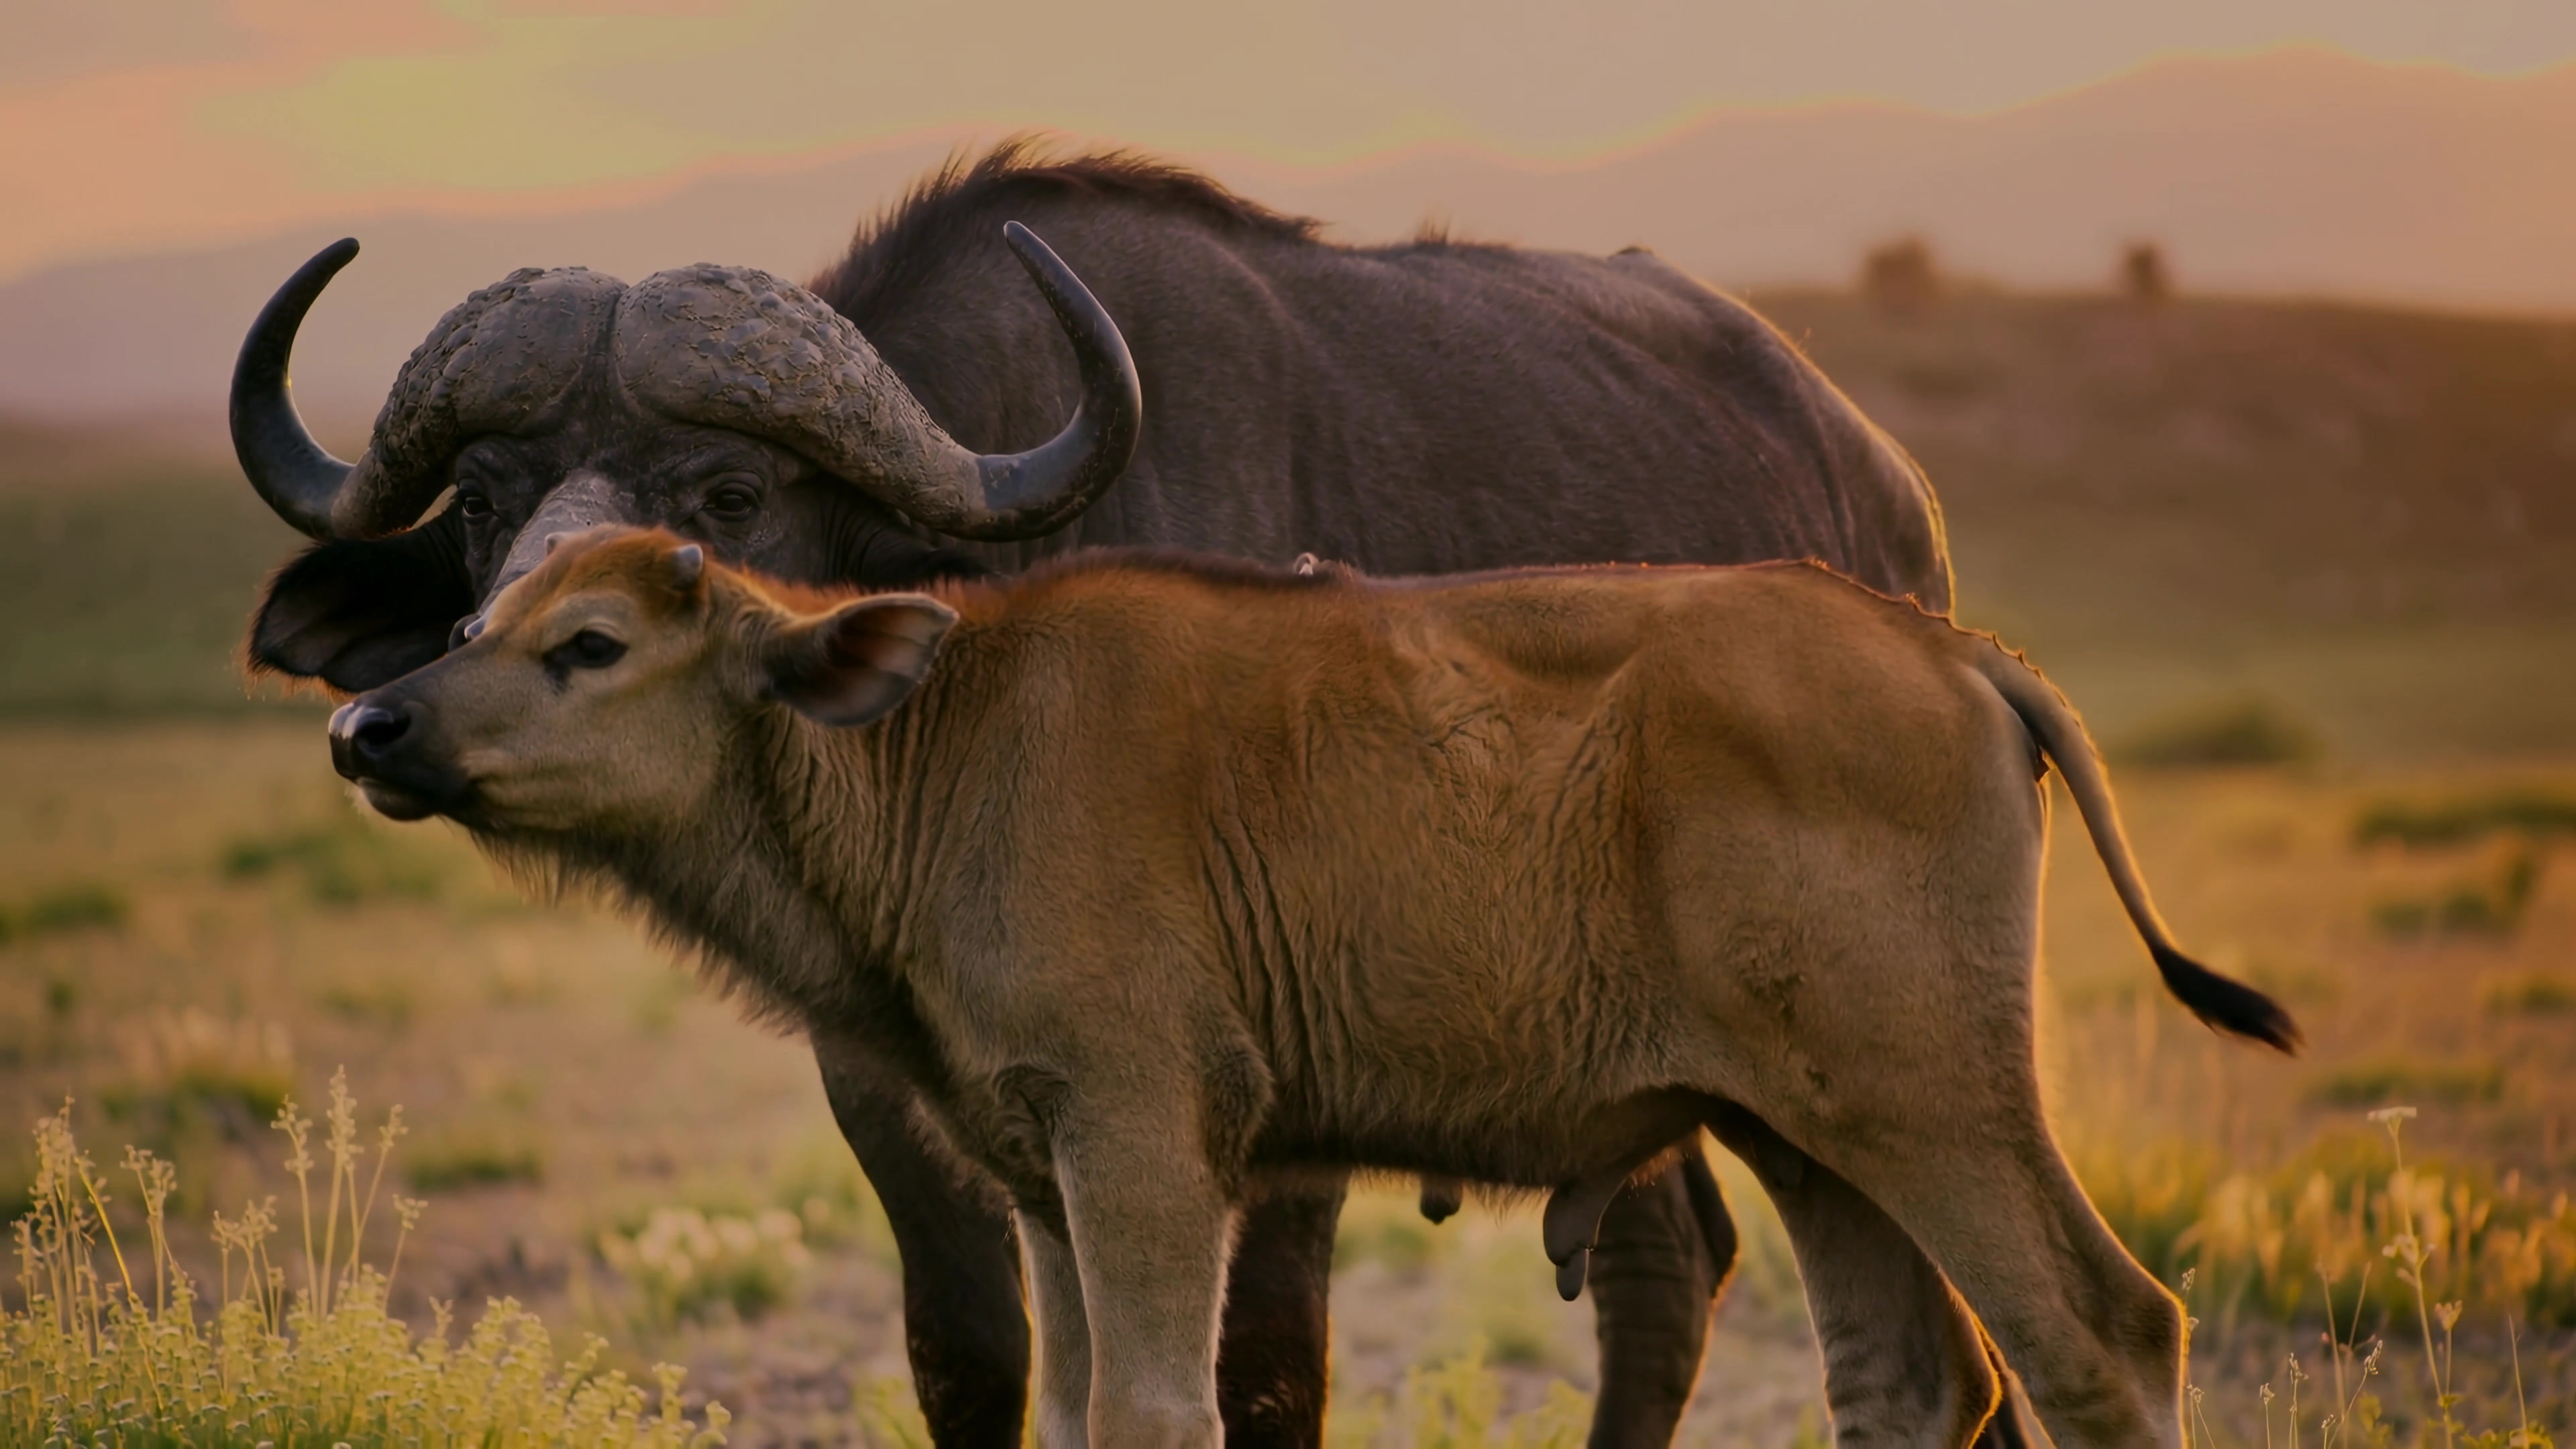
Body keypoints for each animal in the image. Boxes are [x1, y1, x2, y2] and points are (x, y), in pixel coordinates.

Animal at [323, 527, 2299, 1449]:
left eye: (590, 644)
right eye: (478, 621)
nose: (370, 725)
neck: (943, 737)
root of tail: (1953, 649)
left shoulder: (1143, 1153)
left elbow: (1151, 1407)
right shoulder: (1042, 1179)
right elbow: (1070, 1405)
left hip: (1936, 1112)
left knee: (2103, 1335)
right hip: (1813, 1141)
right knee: (1911, 1373)